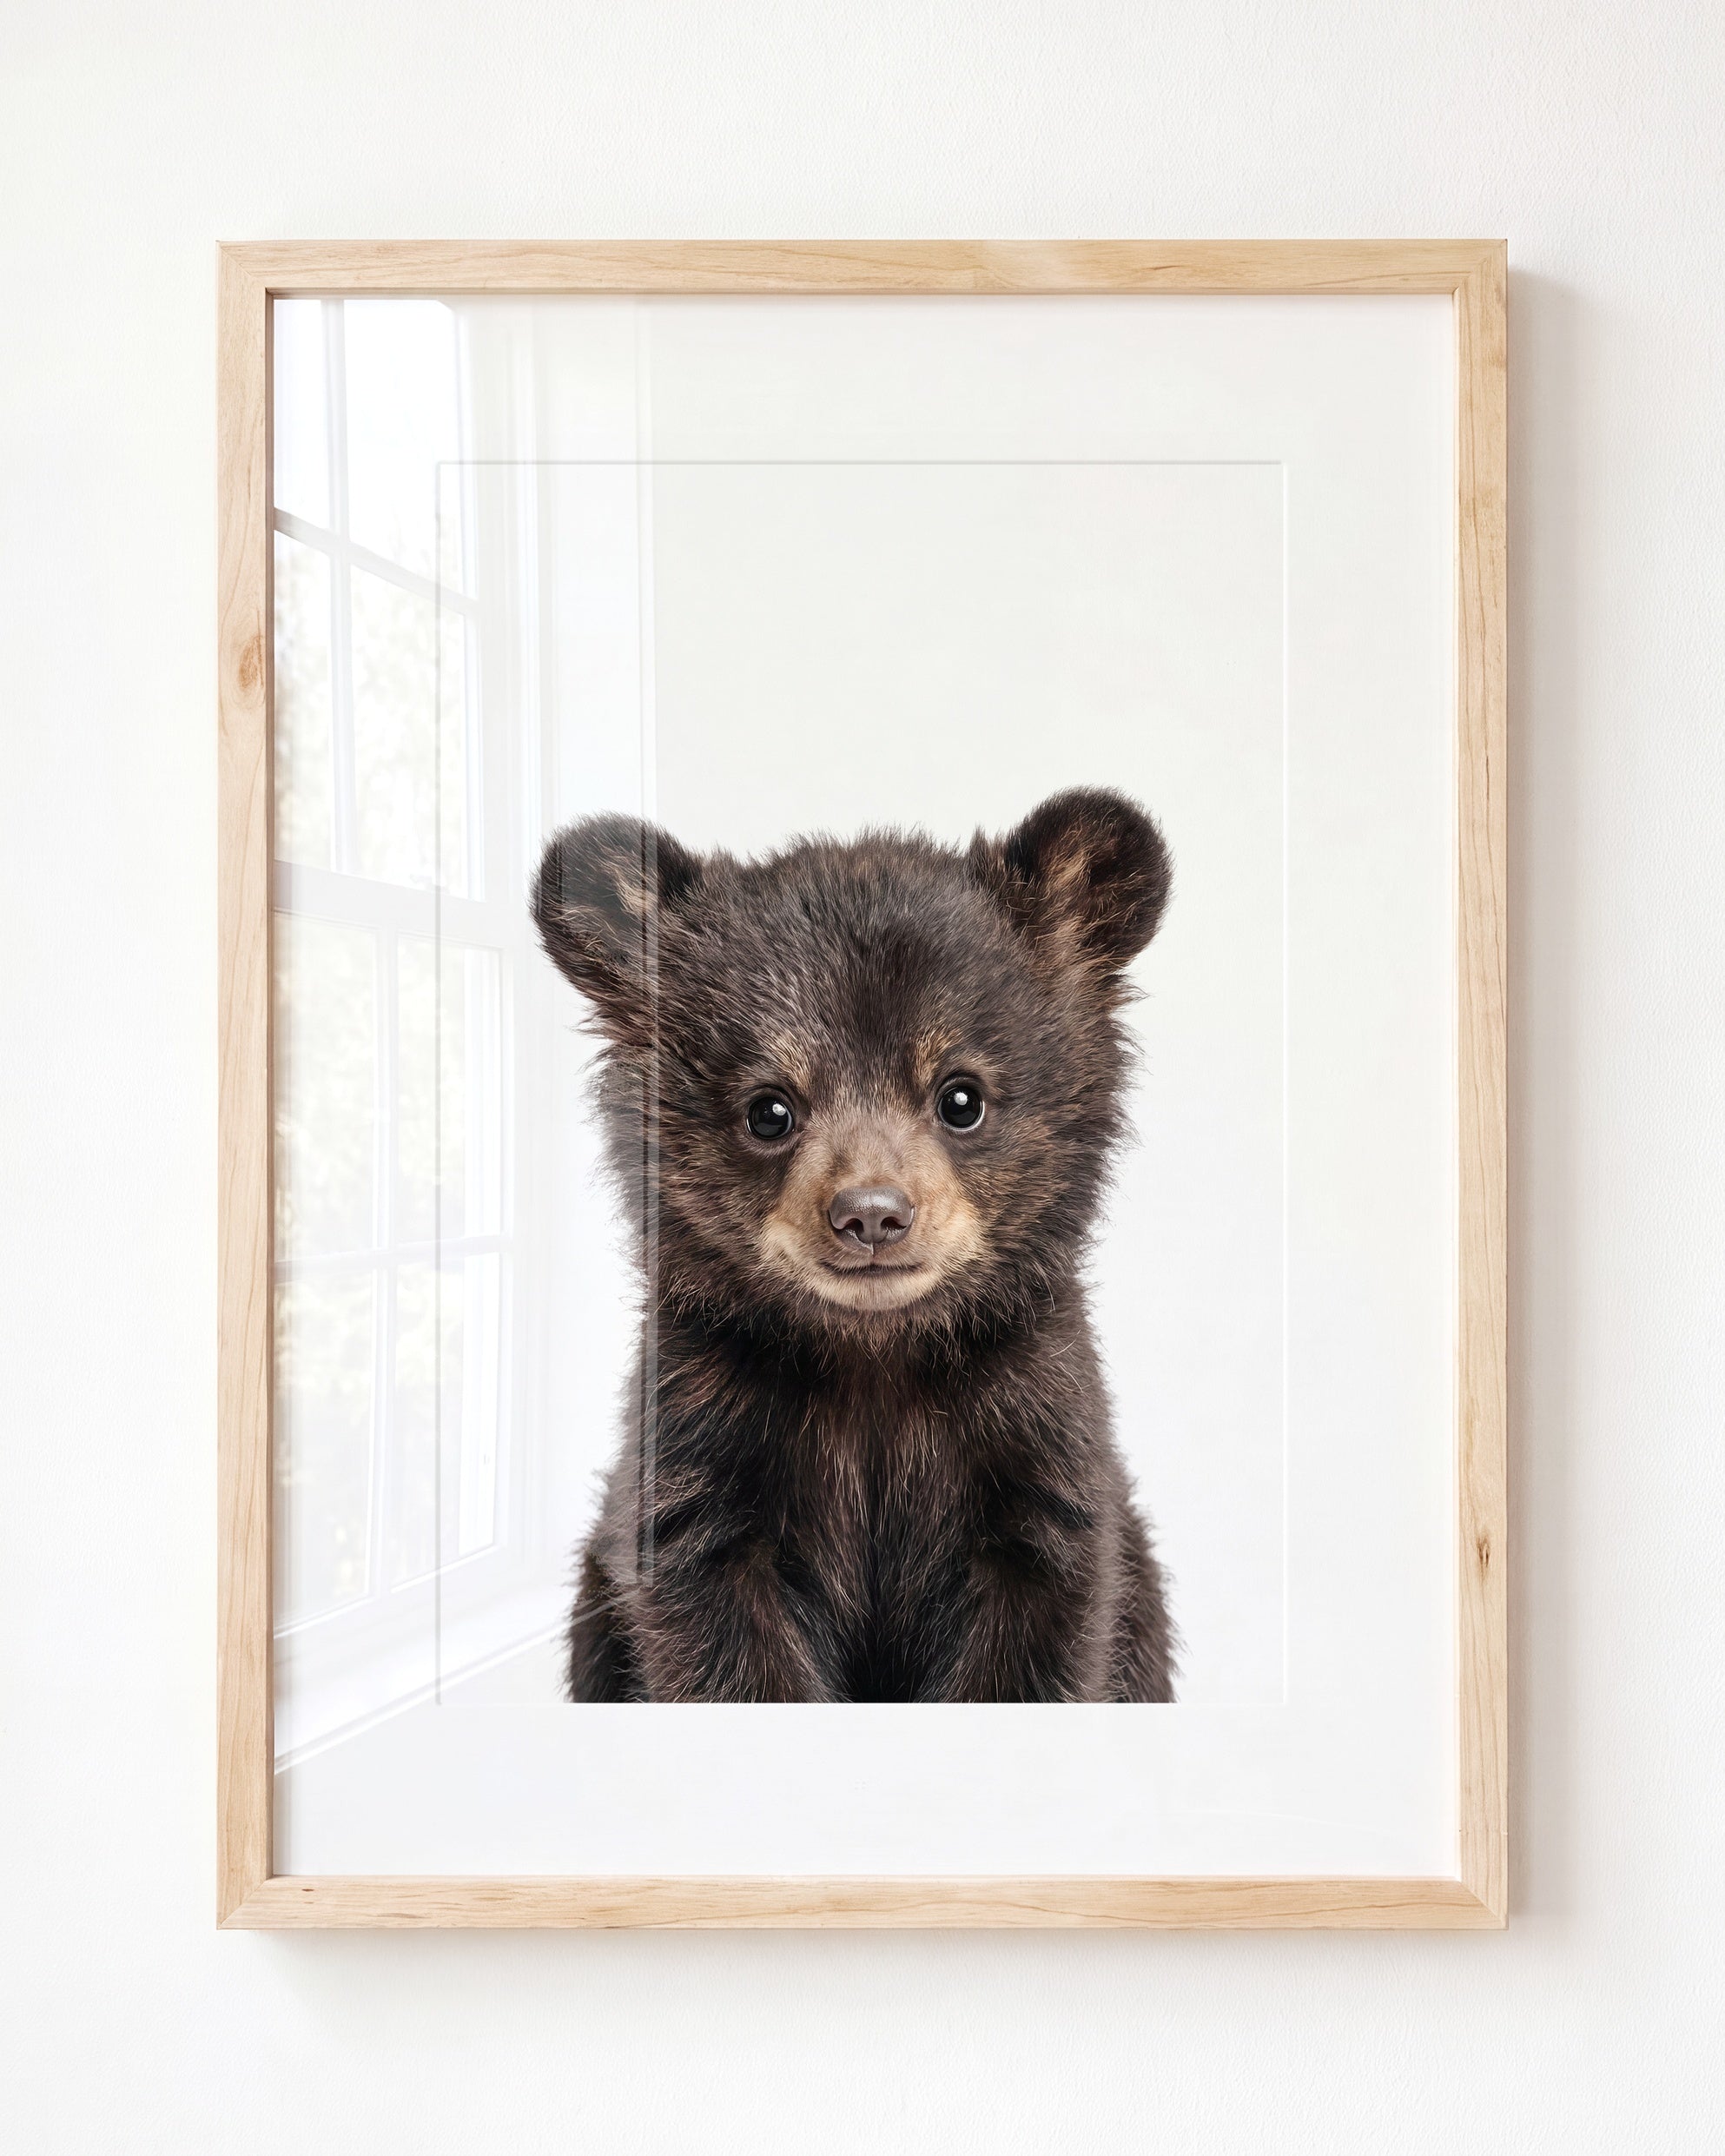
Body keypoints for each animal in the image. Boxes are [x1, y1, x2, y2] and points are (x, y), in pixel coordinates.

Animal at [531, 787, 1179, 1703]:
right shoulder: (699, 1449)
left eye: (961, 1097)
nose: (871, 1215)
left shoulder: (1036, 1441)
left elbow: (1038, 1635)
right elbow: (720, 1641)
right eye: (769, 1109)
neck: (874, 1359)